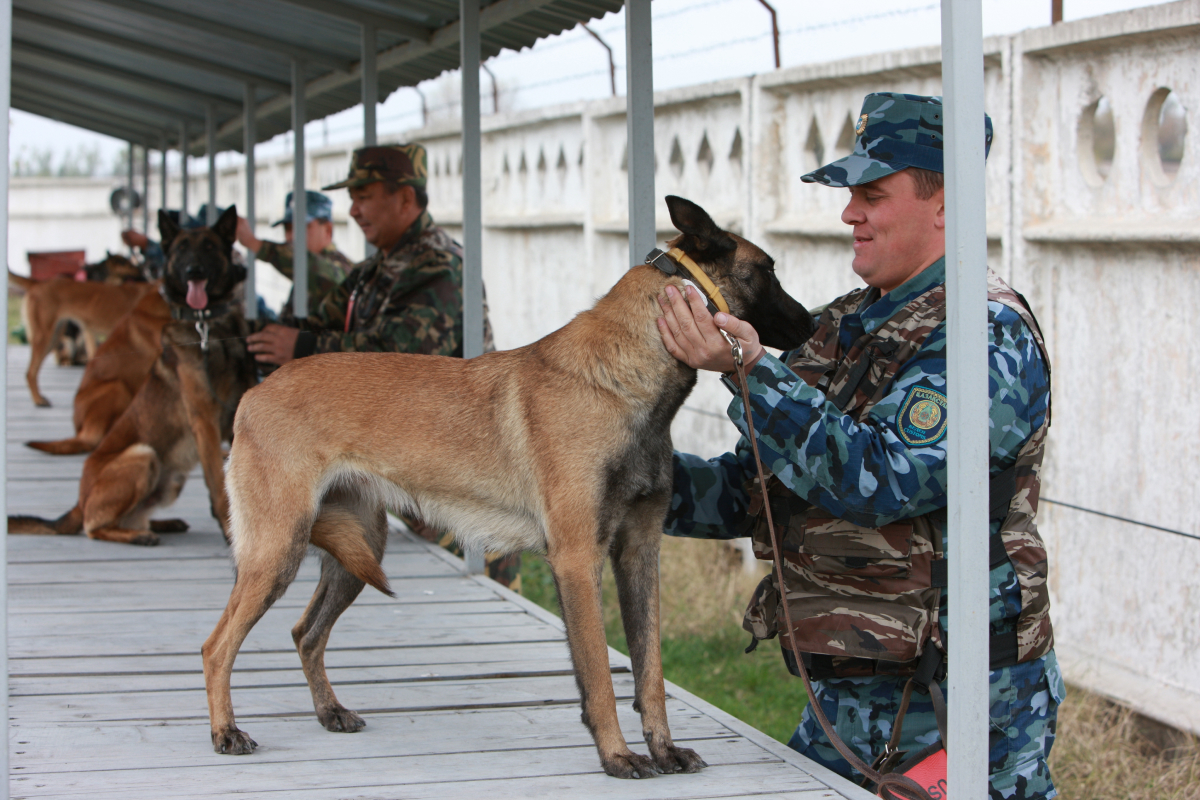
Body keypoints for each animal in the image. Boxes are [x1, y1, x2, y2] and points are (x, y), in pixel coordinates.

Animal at [9, 206, 258, 544]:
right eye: (181, 249)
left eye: (209, 246)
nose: (194, 271)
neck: (210, 326)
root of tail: (79, 501)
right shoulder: (204, 418)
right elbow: (218, 483)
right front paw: (230, 532)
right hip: (141, 450)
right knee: (93, 527)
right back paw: (138, 535)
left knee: (131, 517)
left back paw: (160, 525)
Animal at [201, 196, 816, 777]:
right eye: (768, 271)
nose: (813, 325)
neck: (624, 373)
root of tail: (255, 392)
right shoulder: (577, 559)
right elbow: (599, 674)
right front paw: (618, 757)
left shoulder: (639, 554)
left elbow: (650, 673)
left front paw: (663, 750)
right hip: (277, 550)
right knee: (216, 645)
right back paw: (226, 731)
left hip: (357, 551)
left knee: (305, 633)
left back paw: (329, 710)